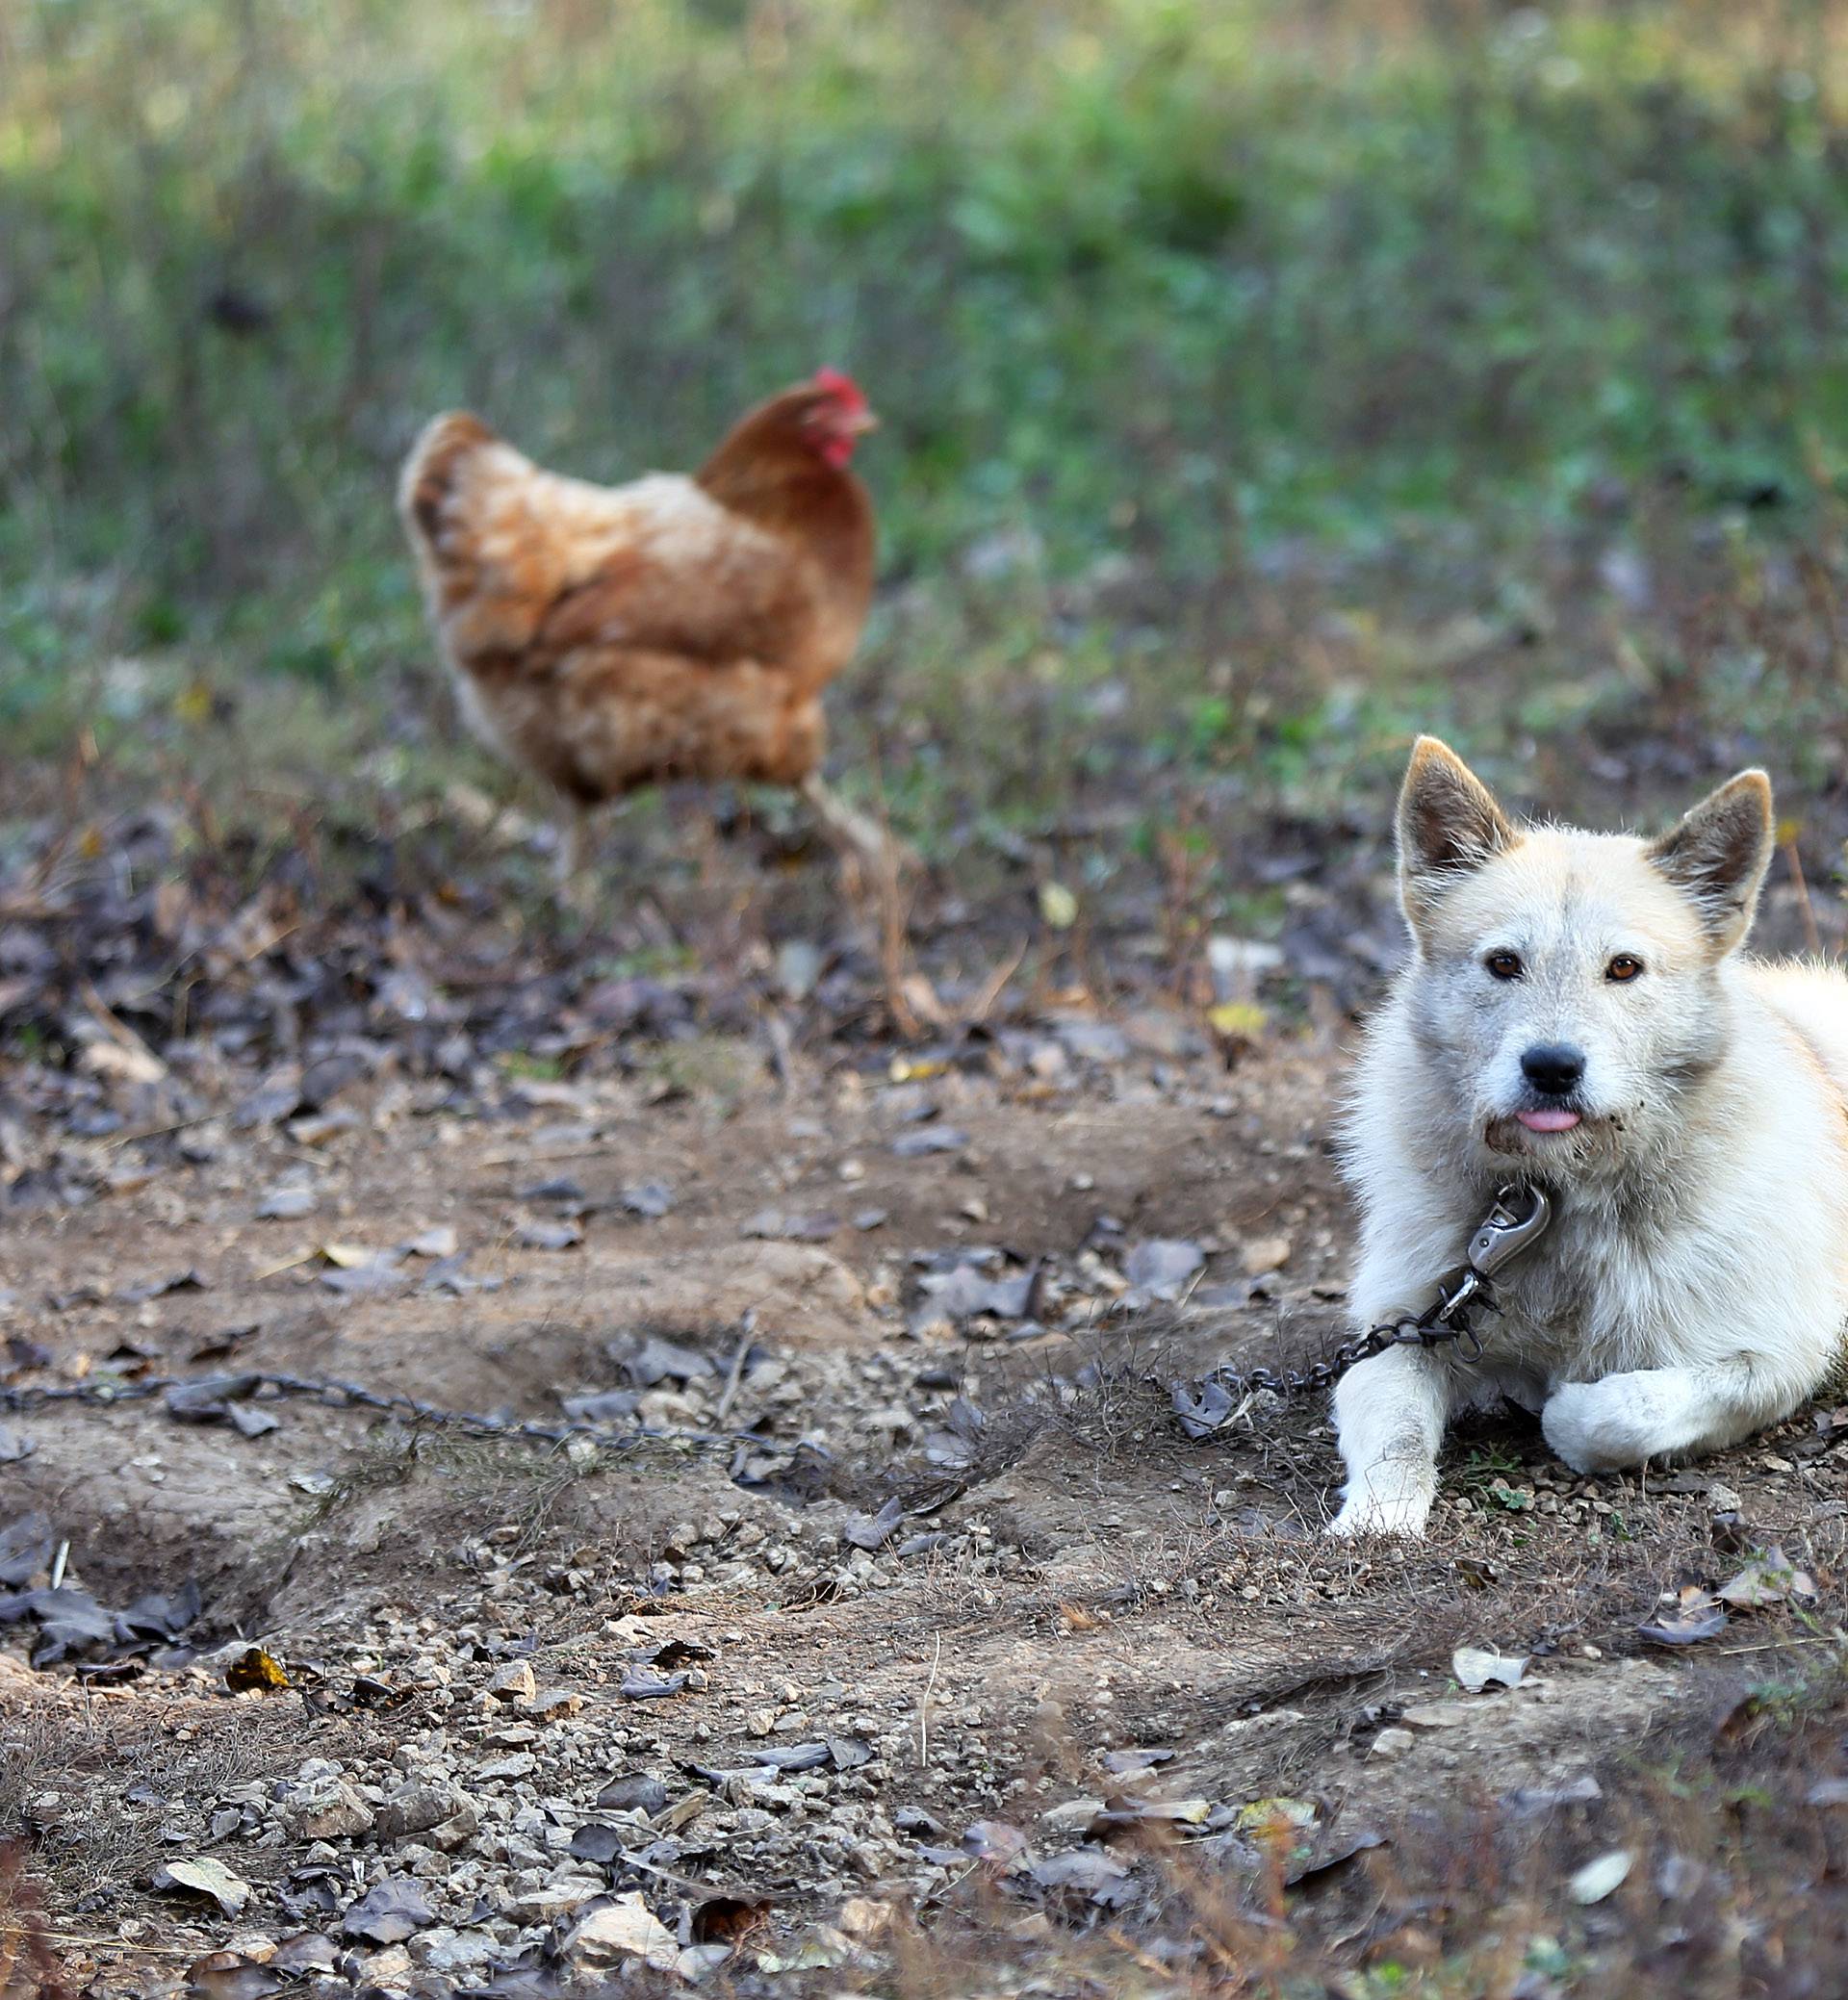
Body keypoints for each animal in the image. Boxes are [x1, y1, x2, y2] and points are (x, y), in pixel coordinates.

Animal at [1327, 744, 1848, 1535]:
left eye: (1624, 967)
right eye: (1504, 963)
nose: (1551, 1068)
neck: (1562, 1194)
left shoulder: (1784, 1354)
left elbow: (1616, 1410)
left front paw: (1561, 1405)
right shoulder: (1398, 1328)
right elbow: (1395, 1429)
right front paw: (1376, 1521)